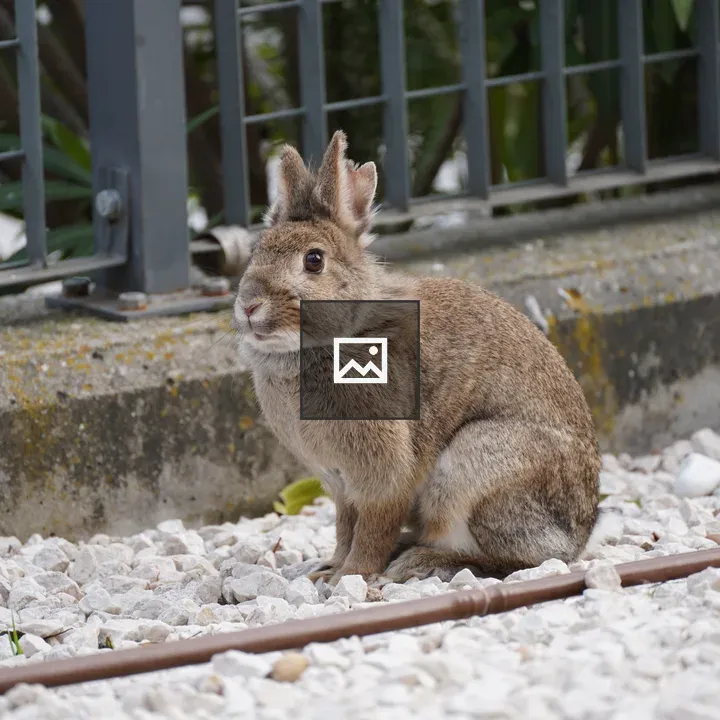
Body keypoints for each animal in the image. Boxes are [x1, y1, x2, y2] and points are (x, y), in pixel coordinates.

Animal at [234, 130, 601, 584]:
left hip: (474, 470)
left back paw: (419, 562)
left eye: (314, 261)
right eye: (256, 251)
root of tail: (578, 536)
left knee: (517, 558)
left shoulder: (384, 474)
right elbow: (345, 527)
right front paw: (329, 571)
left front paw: (352, 576)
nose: (250, 306)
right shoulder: (341, 485)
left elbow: (371, 528)